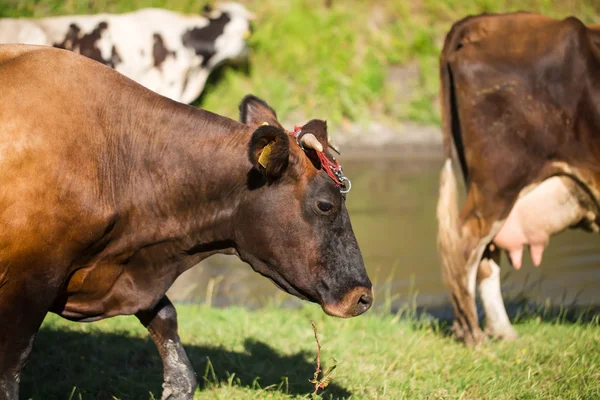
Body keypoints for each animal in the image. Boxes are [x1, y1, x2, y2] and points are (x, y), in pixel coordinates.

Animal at [0, 43, 372, 400]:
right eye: (325, 205)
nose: (363, 296)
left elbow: (167, 319)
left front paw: (177, 386)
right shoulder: (31, 276)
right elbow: (11, 367)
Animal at [436, 11, 600, 344]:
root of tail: (481, 21)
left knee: (486, 256)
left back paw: (501, 331)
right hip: (500, 183)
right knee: (465, 241)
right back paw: (473, 334)